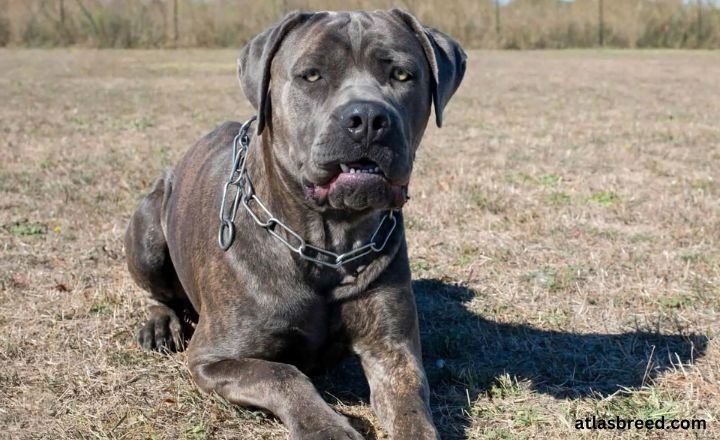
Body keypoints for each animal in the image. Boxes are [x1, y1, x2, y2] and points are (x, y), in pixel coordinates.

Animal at [126, 7, 464, 440]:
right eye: (312, 75)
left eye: (403, 74)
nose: (368, 117)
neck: (328, 242)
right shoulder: (213, 357)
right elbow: (285, 376)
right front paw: (328, 429)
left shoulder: (392, 348)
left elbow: (410, 406)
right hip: (148, 234)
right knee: (161, 293)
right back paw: (159, 325)